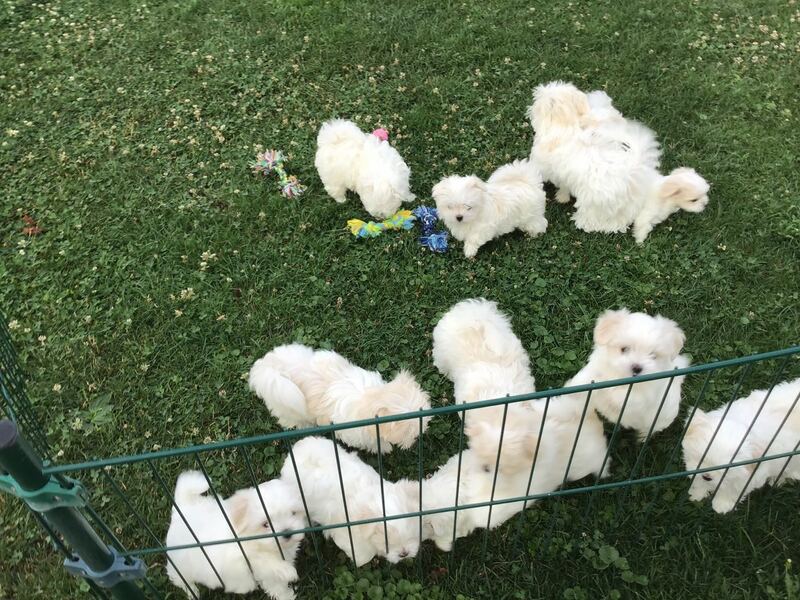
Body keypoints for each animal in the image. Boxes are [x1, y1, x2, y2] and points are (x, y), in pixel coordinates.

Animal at [165, 471, 306, 599]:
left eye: (293, 513)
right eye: (265, 524)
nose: (287, 532)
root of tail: (182, 510)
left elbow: (276, 585)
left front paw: (287, 595)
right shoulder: (240, 558)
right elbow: (261, 561)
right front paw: (287, 571)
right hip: (181, 563)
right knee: (178, 577)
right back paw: (192, 591)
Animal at [249, 344, 430, 453]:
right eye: (408, 432)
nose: (418, 437)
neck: (370, 399)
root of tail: (268, 367)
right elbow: (372, 442)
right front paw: (385, 447)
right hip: (285, 402)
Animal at [568, 309, 690, 439]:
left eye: (653, 355)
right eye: (624, 349)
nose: (637, 368)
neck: (621, 376)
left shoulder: (644, 394)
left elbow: (623, 397)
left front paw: (610, 397)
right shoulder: (597, 367)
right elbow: (587, 378)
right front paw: (573, 389)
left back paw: (643, 436)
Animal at [683, 377, 800, 513]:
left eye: (725, 469)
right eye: (700, 458)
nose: (707, 476)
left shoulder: (749, 477)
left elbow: (732, 490)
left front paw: (722, 505)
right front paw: (697, 493)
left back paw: (778, 479)